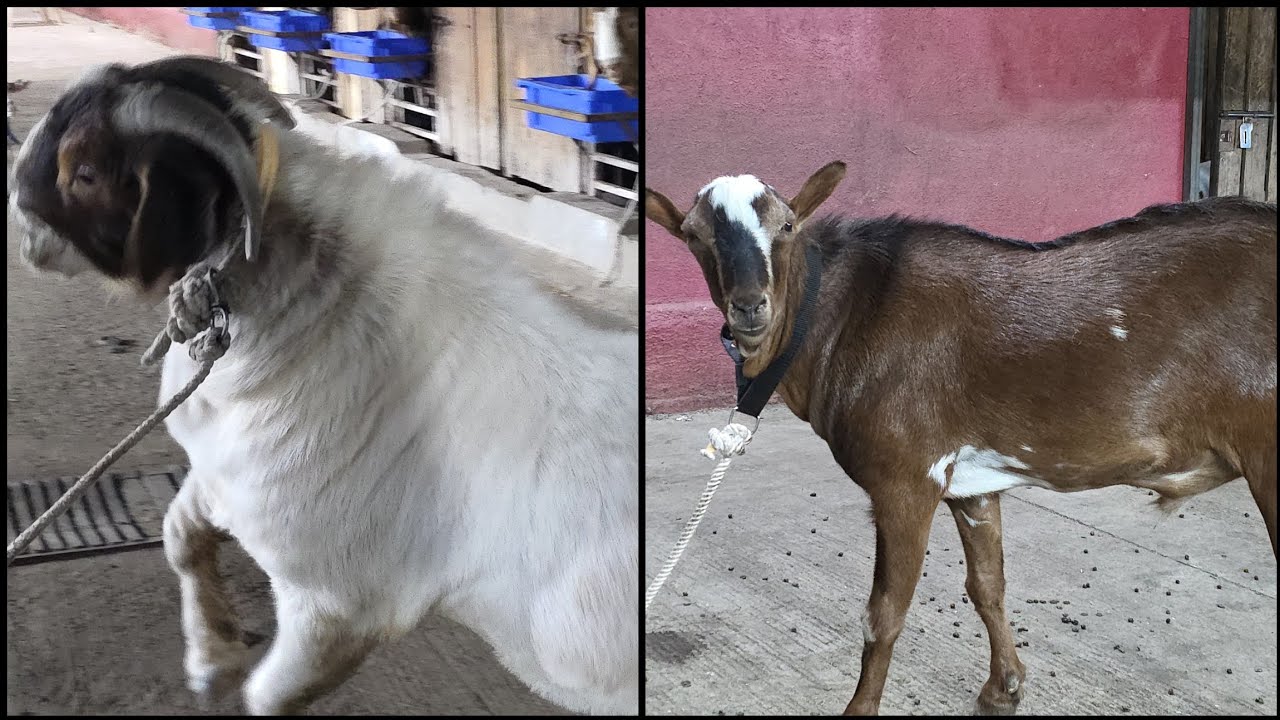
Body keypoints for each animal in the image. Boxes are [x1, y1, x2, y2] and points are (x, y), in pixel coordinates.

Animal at [10, 56, 638, 715]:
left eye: (84, 171)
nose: (18, 207)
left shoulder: (336, 604)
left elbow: (266, 697)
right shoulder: (228, 481)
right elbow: (180, 538)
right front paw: (212, 661)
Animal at [645, 162, 1276, 715]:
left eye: (787, 225)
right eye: (693, 236)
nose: (750, 307)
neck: (842, 318)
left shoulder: (905, 478)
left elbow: (885, 612)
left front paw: (861, 707)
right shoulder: (972, 485)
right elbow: (987, 586)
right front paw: (1004, 688)